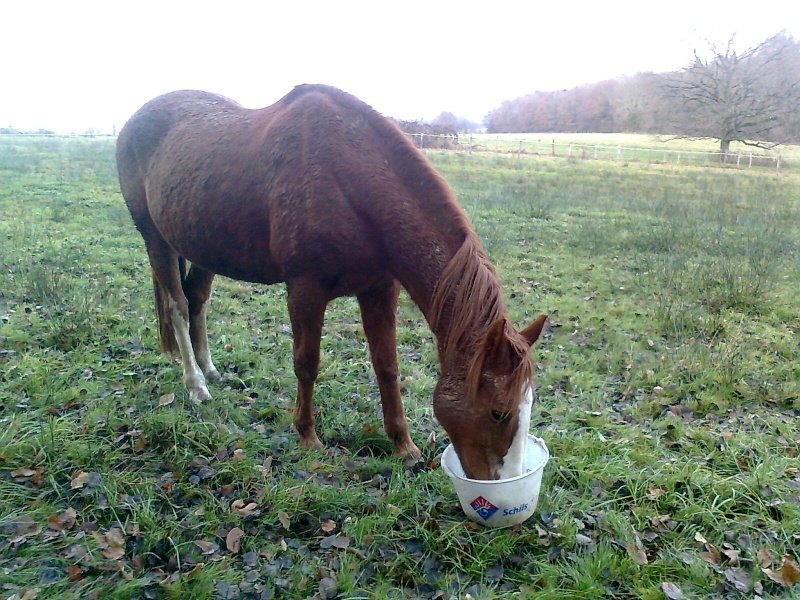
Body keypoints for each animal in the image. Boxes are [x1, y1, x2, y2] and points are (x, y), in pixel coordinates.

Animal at [115, 83, 548, 478]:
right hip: (155, 239)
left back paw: (210, 370)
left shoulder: (379, 290)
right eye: (498, 412)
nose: (505, 483)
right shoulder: (305, 290)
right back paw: (195, 385)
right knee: (178, 306)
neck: (346, 178)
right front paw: (307, 437)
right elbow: (306, 363)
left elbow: (386, 367)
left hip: (204, 246)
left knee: (197, 300)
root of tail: (135, 120)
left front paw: (404, 447)